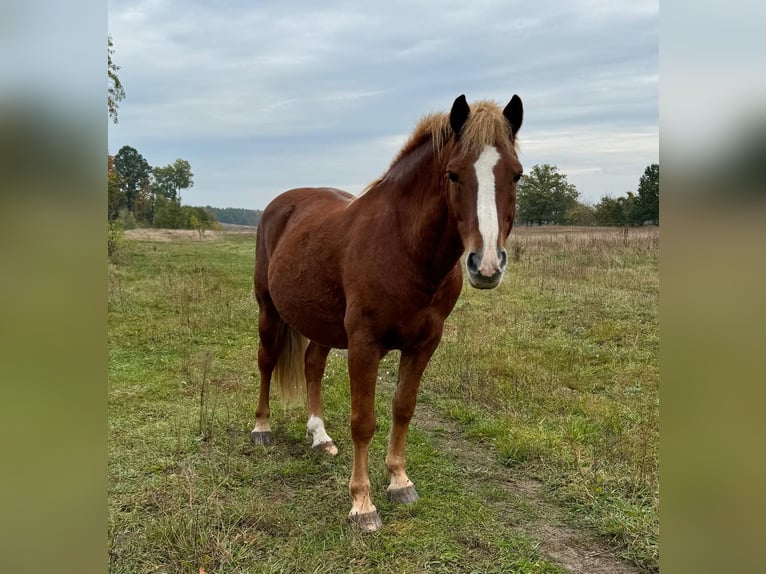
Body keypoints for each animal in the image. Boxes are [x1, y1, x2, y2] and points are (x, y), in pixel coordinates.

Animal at [251, 94, 523, 532]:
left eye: (515, 175)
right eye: (453, 175)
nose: (486, 266)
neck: (403, 246)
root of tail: (281, 204)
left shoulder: (425, 343)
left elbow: (403, 408)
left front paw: (399, 481)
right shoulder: (365, 344)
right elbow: (363, 421)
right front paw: (362, 505)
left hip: (322, 325)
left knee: (312, 365)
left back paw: (320, 437)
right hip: (269, 310)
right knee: (266, 361)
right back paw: (261, 427)